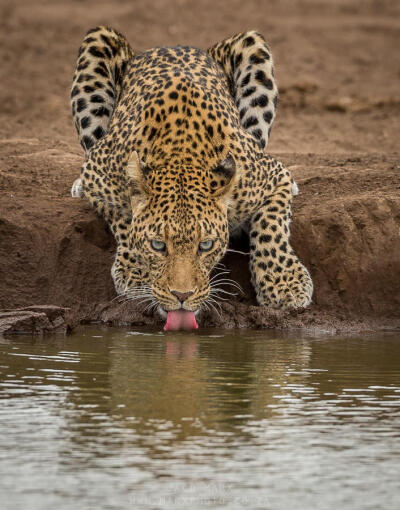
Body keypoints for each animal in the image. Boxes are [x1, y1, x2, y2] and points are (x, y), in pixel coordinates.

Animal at [69, 26, 312, 330]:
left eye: (205, 245)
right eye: (158, 245)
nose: (182, 296)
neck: (181, 158)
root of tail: (171, 45)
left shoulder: (273, 174)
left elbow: (271, 226)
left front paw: (285, 283)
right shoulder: (96, 174)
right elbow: (123, 217)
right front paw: (136, 270)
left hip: (252, 47)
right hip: (100, 40)